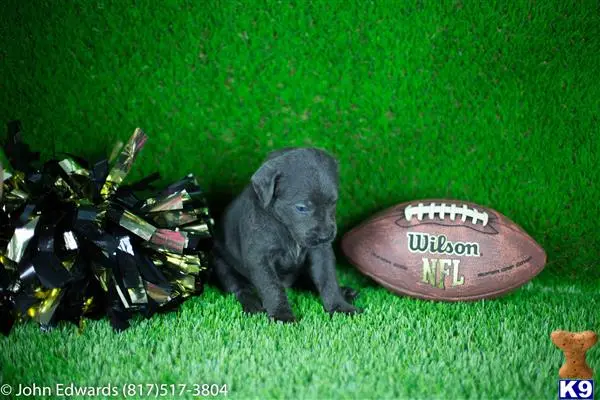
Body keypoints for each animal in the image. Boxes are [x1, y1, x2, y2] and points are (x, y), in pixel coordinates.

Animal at [212, 147, 360, 322]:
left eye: (333, 202)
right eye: (302, 207)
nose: (325, 237)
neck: (286, 228)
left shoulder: (321, 253)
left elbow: (327, 278)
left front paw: (340, 306)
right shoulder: (260, 258)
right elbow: (272, 287)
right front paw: (282, 315)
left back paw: (345, 291)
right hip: (222, 264)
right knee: (239, 288)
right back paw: (252, 305)